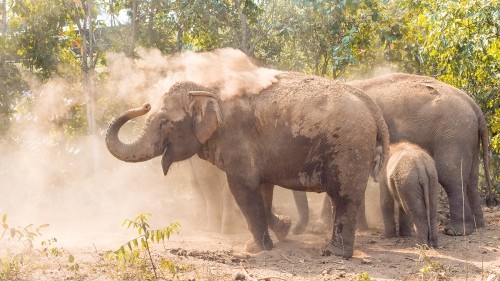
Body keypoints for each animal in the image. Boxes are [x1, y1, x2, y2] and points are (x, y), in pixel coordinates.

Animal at [292, 72, 496, 236]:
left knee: (451, 178)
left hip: (454, 137)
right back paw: (478, 226)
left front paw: (318, 228)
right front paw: (358, 228)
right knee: (471, 180)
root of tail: (474, 106)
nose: (295, 230)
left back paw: (455, 231)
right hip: (468, 138)